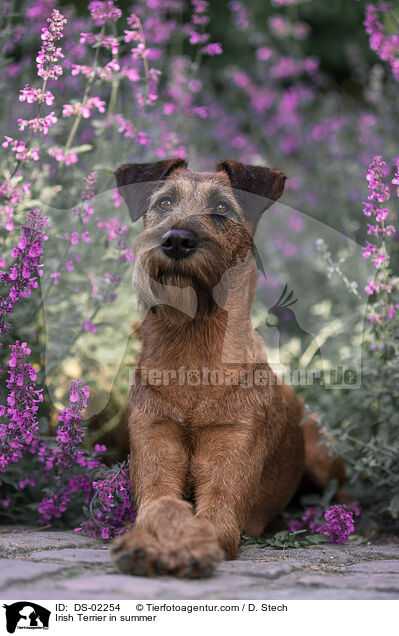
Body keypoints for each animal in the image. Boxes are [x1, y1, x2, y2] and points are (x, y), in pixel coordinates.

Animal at [109, 159, 344, 576]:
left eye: (221, 208)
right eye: (164, 202)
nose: (176, 240)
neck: (192, 353)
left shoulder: (230, 465)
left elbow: (210, 519)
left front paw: (184, 548)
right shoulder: (154, 442)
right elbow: (161, 508)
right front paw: (142, 545)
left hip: (323, 455)